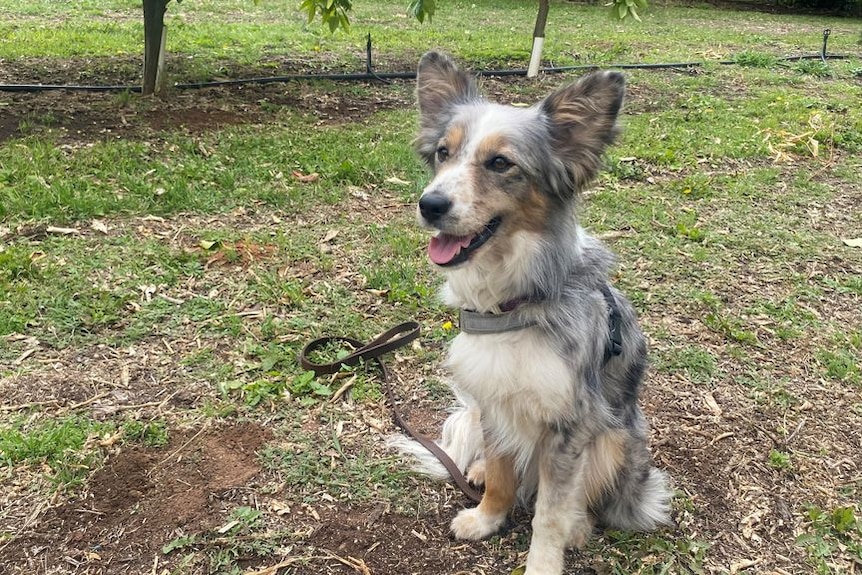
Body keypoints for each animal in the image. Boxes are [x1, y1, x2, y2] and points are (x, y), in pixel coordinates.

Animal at [392, 51, 676, 572]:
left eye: (500, 163)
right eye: (443, 153)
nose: (430, 204)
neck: (516, 301)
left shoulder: (569, 425)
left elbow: (551, 510)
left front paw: (544, 560)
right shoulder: (492, 398)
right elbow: (505, 473)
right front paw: (487, 517)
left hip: (615, 439)